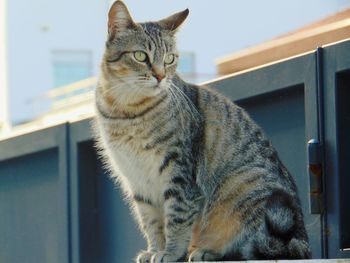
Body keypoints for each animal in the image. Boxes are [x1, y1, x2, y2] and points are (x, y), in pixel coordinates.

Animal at [93, 1, 312, 262]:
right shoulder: (137, 180)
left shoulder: (179, 171)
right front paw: (155, 250)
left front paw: (171, 252)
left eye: (169, 59)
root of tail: (302, 240)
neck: (127, 110)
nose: (160, 76)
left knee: (253, 248)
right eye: (140, 56)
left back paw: (207, 251)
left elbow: (176, 218)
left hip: (243, 186)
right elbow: (152, 223)